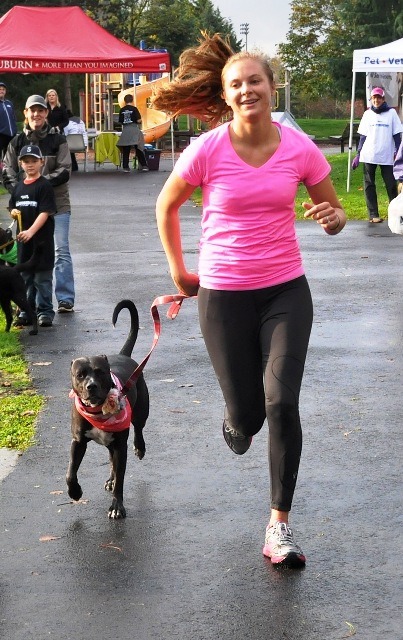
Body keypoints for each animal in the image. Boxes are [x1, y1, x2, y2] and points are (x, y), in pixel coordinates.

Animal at [68, 302, 150, 520]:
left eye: (100, 372)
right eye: (80, 374)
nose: (91, 386)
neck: (98, 411)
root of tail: (123, 355)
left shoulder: (121, 446)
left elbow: (121, 479)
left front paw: (116, 507)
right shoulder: (78, 442)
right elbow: (70, 472)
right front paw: (75, 492)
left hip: (141, 411)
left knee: (139, 428)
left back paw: (139, 447)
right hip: (110, 443)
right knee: (111, 459)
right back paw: (110, 479)